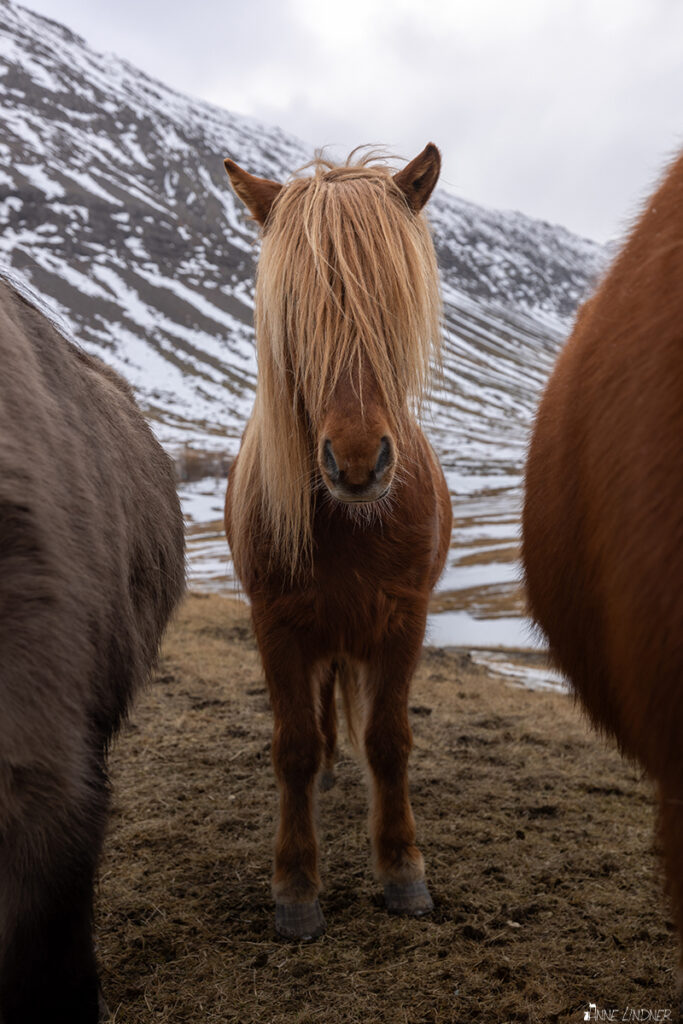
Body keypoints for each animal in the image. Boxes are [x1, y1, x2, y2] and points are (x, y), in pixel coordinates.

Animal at [222, 148, 450, 937]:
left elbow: (389, 741)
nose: (356, 463)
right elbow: (291, 747)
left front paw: (403, 871)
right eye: (293, 312)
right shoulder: (277, 623)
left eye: (392, 305)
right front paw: (295, 888)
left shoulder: (403, 618)